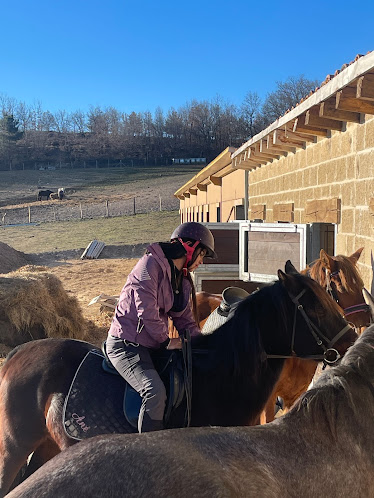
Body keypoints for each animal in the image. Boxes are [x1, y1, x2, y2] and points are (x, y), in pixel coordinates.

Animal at [0, 262, 356, 496]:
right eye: (314, 307)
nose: (351, 339)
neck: (218, 376)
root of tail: (17, 354)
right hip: (13, 447)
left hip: (47, 444)